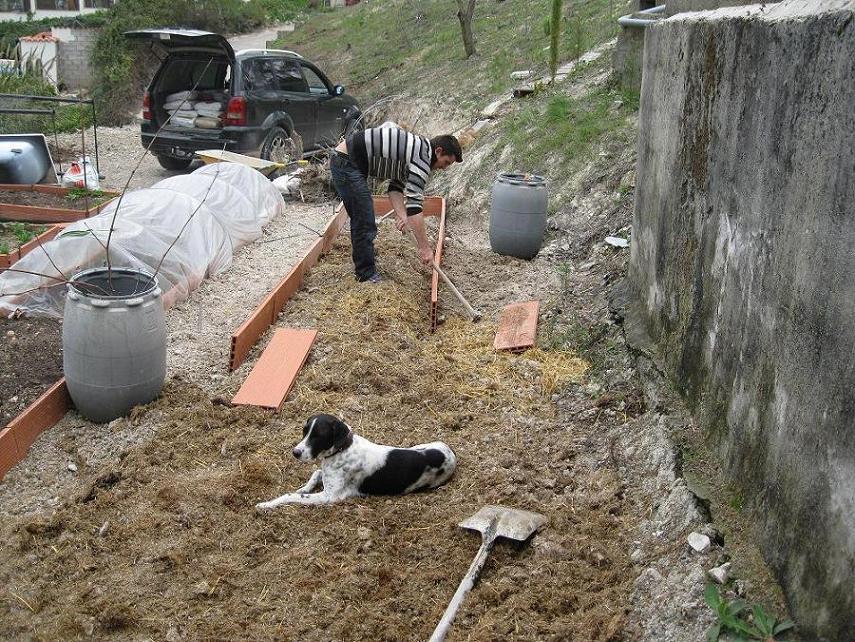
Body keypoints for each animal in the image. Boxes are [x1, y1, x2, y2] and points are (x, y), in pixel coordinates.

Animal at [256, 412, 458, 508]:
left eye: (318, 436)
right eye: (304, 431)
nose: (295, 452)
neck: (343, 449)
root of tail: (450, 453)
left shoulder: (330, 497)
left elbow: (290, 496)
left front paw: (266, 504)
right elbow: (316, 473)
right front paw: (304, 487)